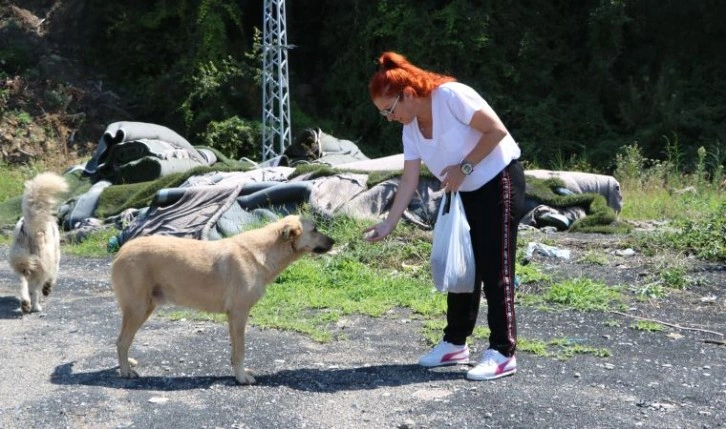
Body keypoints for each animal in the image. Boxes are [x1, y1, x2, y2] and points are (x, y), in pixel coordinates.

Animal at [111, 216, 336, 382]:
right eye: (315, 229)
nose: (334, 241)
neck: (265, 251)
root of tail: (122, 250)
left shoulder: (232, 317)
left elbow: (234, 350)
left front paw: (237, 372)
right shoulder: (239, 313)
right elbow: (241, 350)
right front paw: (241, 378)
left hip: (145, 307)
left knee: (123, 341)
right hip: (138, 308)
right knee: (121, 341)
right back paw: (126, 371)